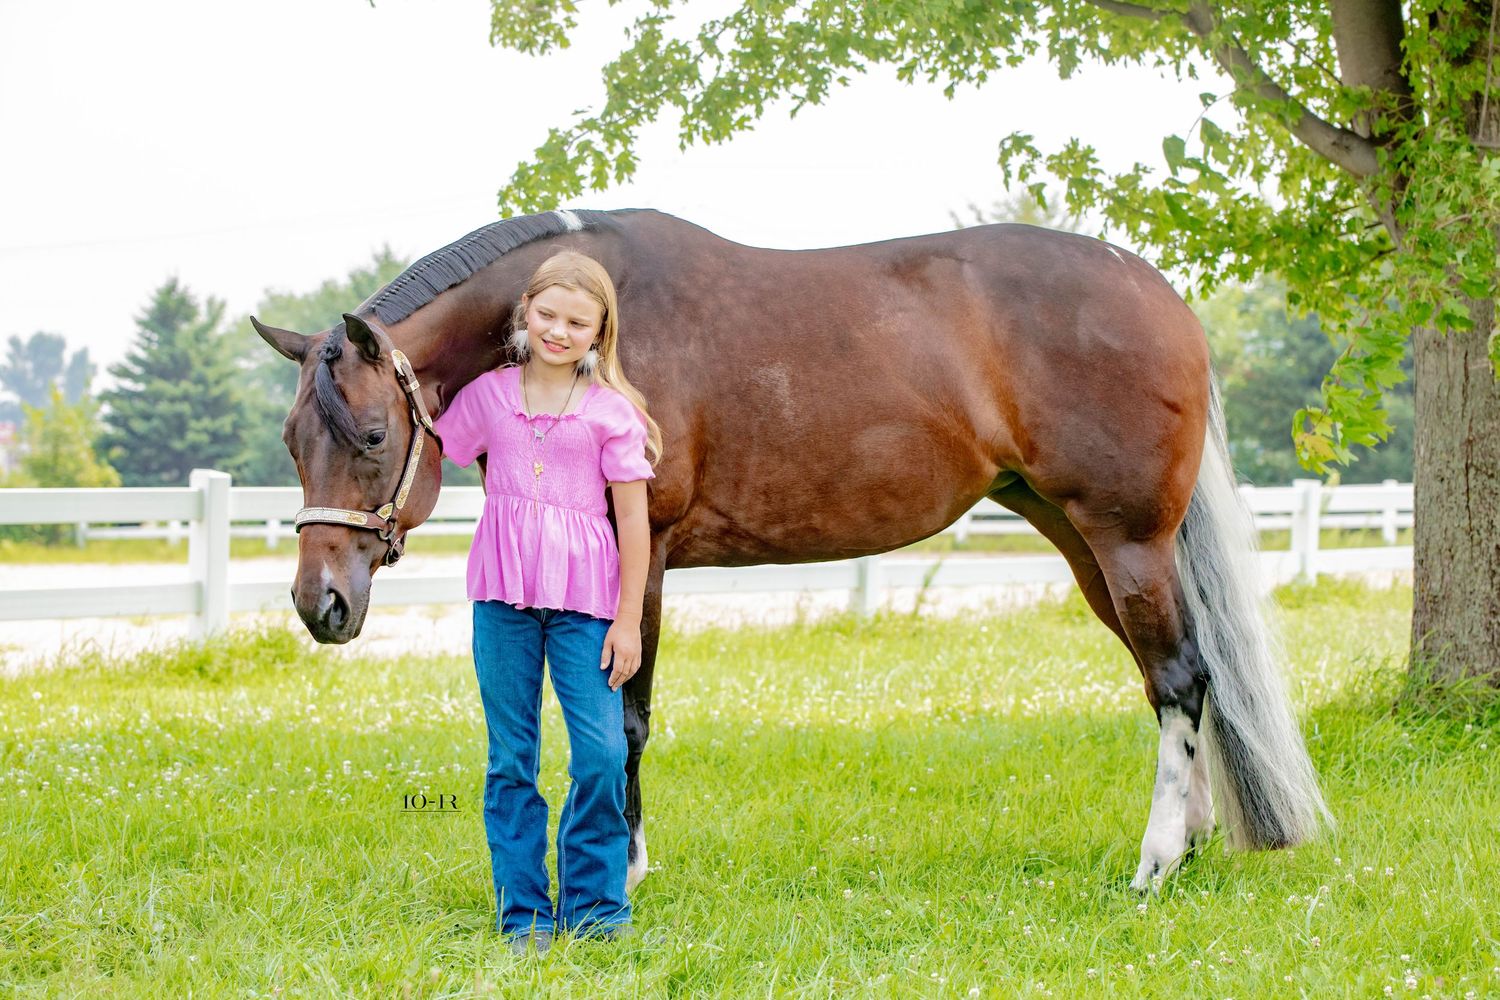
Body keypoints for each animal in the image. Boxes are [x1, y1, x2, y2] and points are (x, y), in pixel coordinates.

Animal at [253, 208, 1329, 894]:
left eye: (372, 436)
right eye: (293, 444)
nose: (320, 603)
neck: (614, 323)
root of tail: (1159, 293)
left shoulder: (641, 554)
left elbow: (627, 716)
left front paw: (628, 866)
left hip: (1125, 538)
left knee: (1181, 679)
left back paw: (1155, 863)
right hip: (1086, 544)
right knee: (1172, 677)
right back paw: (1189, 843)